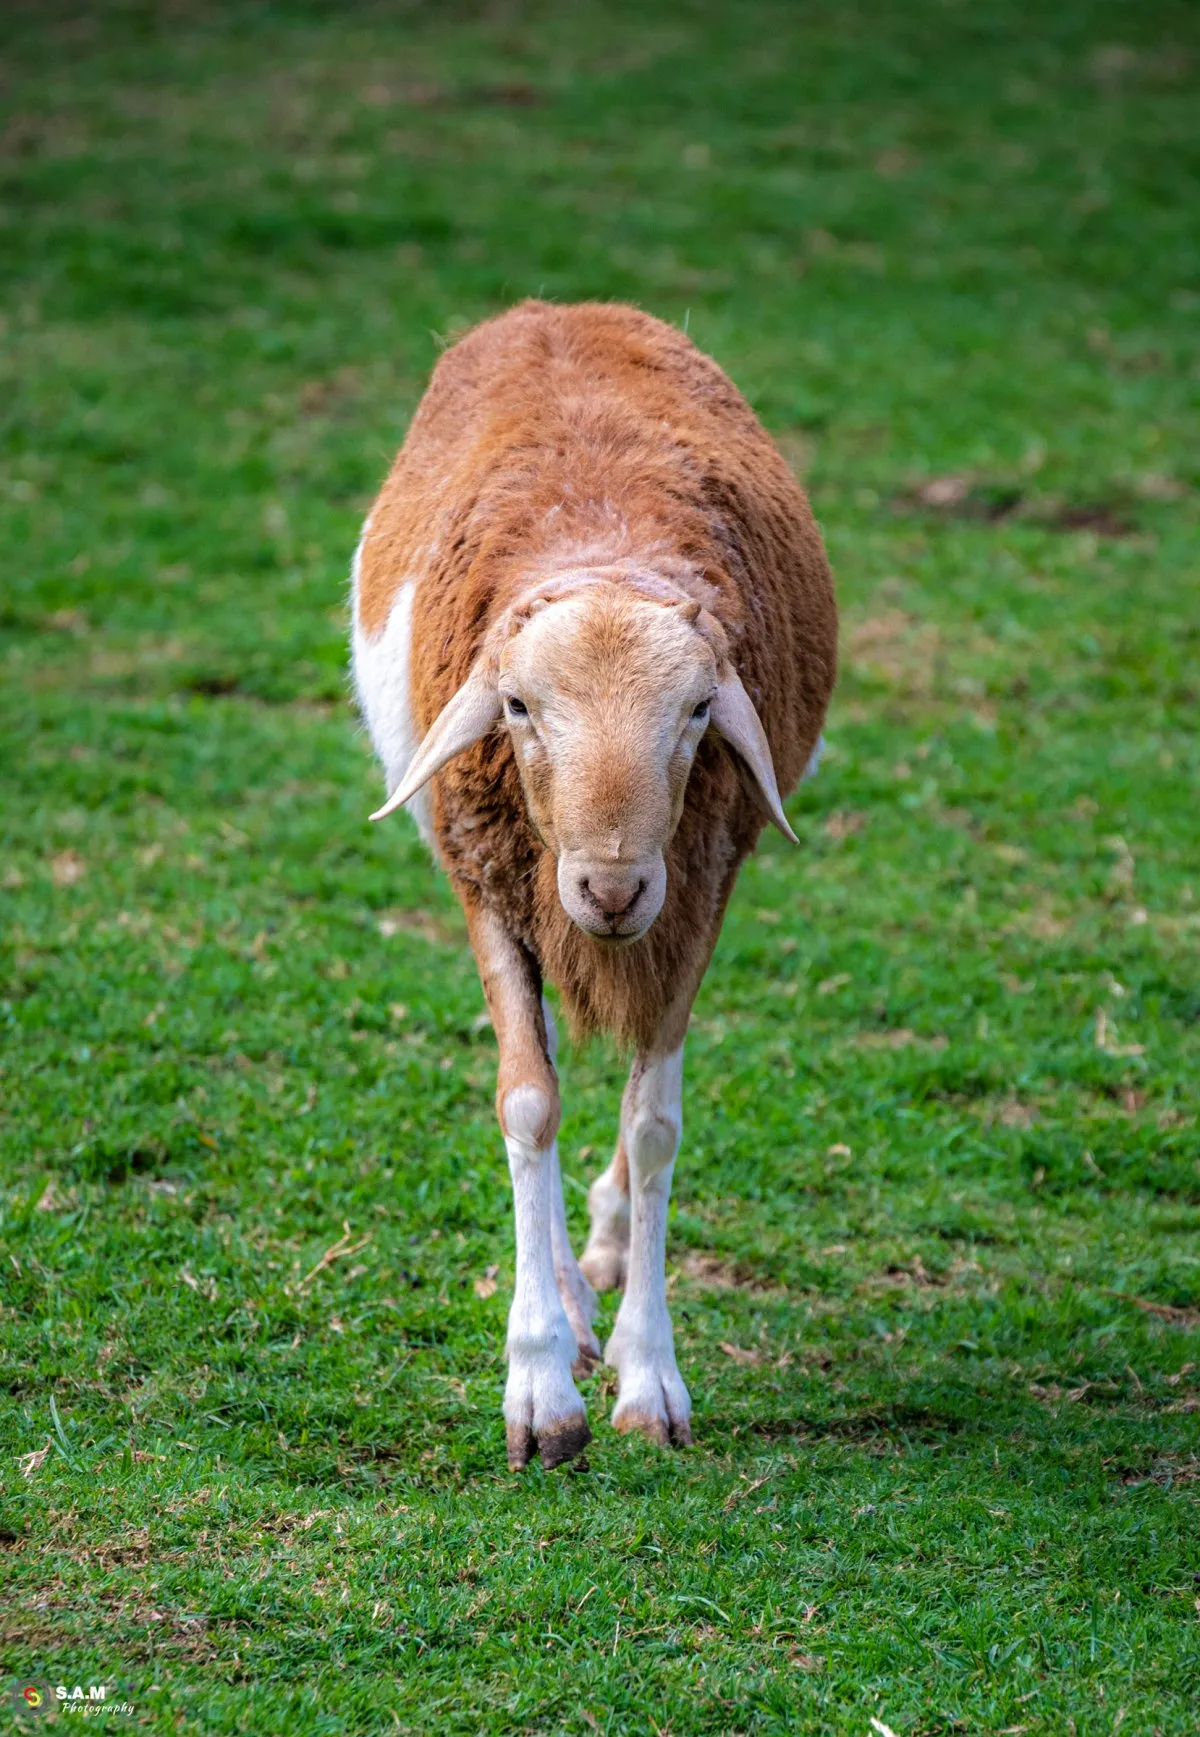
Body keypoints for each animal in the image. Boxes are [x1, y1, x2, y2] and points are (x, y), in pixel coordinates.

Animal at [352, 300, 837, 1469]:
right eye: (519, 706)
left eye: (701, 711)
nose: (609, 888)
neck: (602, 546)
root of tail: (555, 308)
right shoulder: (487, 882)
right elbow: (528, 1102)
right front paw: (540, 1384)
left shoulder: (698, 890)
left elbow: (655, 1122)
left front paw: (648, 1373)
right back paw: (572, 1299)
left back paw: (607, 1257)